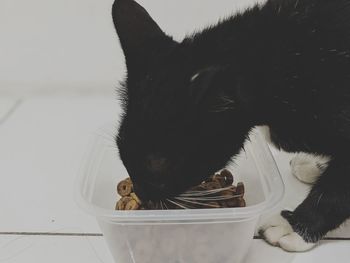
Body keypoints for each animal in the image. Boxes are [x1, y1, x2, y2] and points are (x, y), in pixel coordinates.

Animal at [113, 0, 350, 253]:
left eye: (159, 165)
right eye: (122, 151)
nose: (141, 193)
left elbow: (337, 190)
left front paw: (294, 226)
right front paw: (316, 164)